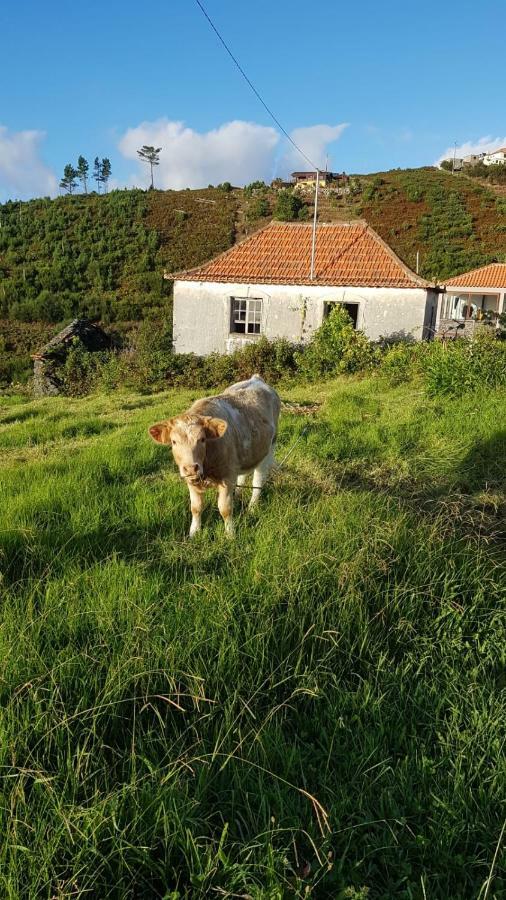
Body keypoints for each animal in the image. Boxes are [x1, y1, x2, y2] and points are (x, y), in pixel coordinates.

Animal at [148, 372, 280, 536]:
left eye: (202, 439)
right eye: (173, 441)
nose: (191, 468)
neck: (207, 464)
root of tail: (256, 379)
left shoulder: (227, 477)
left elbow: (225, 508)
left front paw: (230, 534)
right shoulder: (191, 481)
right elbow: (196, 508)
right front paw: (194, 532)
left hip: (269, 448)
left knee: (258, 480)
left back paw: (253, 507)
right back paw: (238, 494)